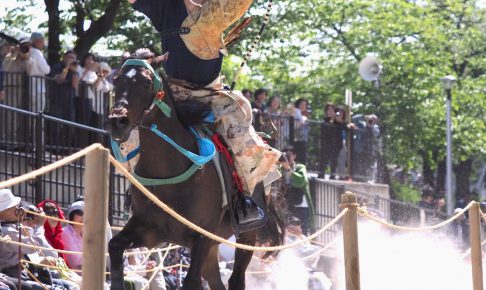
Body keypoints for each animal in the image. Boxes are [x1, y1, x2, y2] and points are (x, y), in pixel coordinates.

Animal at [107, 57, 282, 290]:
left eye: (146, 82)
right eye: (116, 80)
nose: (117, 121)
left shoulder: (201, 237)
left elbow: (191, 282)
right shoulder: (148, 230)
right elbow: (114, 245)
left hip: (246, 234)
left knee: (235, 279)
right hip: (213, 246)